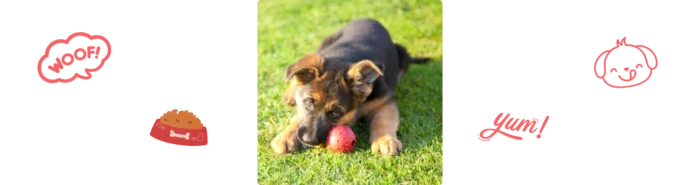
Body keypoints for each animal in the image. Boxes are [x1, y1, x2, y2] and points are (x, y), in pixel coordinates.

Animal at [270, 18, 430, 156]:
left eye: (336, 112)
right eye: (308, 102)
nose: (309, 140)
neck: (344, 58)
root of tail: (368, 18)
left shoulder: (384, 101)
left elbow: (384, 120)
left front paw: (384, 140)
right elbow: (299, 116)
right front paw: (286, 135)